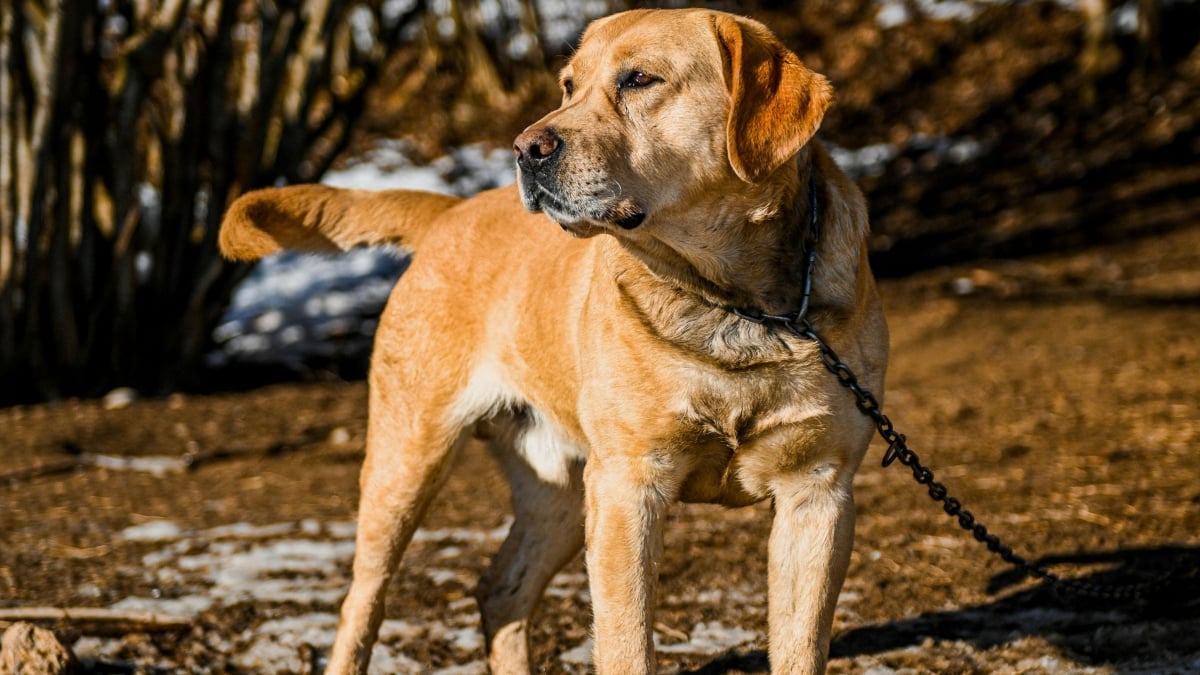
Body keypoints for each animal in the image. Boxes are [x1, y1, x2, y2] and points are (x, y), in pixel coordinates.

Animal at [220, 6, 888, 672]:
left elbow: (800, 647)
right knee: (363, 602)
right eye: (569, 86)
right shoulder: (626, 488)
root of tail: (449, 212)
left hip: (561, 491)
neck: (737, 305)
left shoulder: (818, 494)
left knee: (501, 589)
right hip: (406, 463)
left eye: (639, 79)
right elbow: (626, 646)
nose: (525, 148)